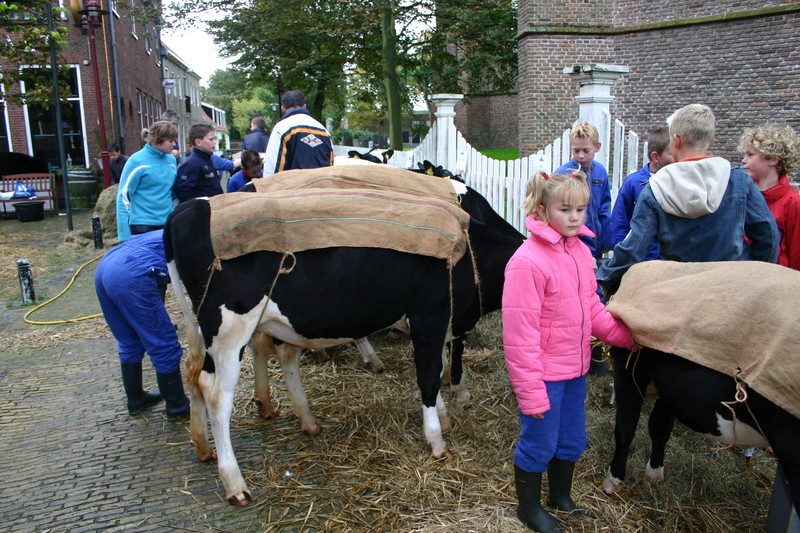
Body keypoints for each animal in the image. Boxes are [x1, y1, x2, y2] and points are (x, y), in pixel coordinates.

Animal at [164, 183, 523, 505]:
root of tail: (190, 207)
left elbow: (435, 372)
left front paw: (444, 417)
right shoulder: (429, 319)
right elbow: (429, 377)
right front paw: (436, 439)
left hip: (231, 329)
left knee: (211, 371)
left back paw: (215, 442)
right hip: (229, 330)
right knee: (217, 396)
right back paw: (234, 481)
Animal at [603, 345, 800, 515]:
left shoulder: (630, 367)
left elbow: (625, 429)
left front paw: (613, 479)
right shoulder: (672, 388)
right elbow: (660, 428)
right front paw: (654, 475)